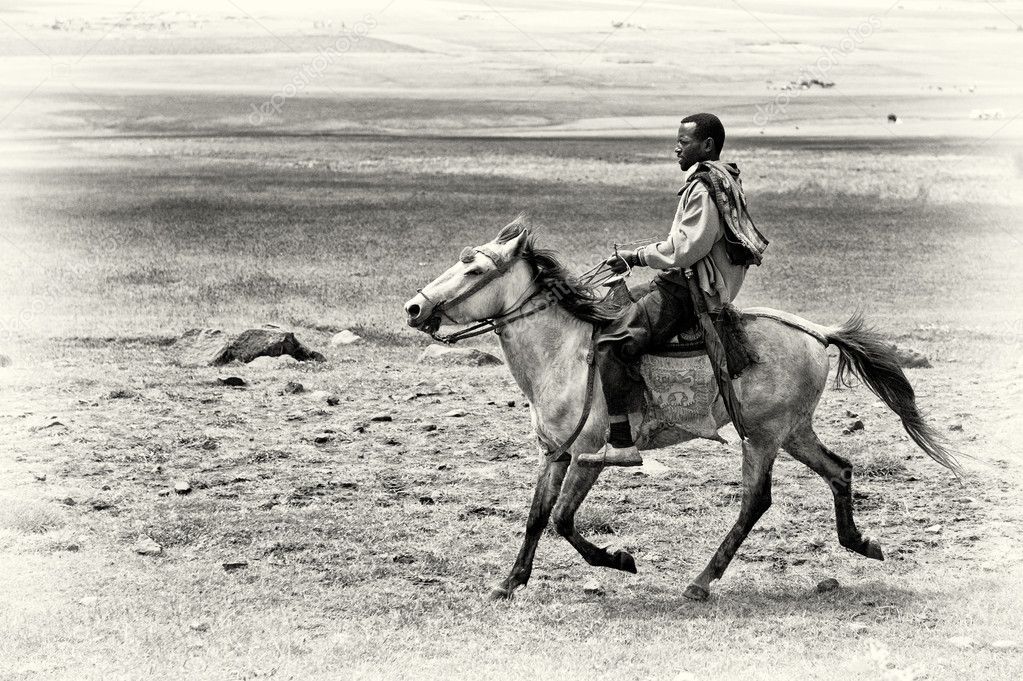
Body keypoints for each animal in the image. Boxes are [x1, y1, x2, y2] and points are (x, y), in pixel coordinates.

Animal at [403, 218, 962, 601]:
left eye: (475, 267)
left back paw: (701, 581)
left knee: (755, 501)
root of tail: (816, 332)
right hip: (793, 431)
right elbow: (537, 517)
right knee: (839, 470)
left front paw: (620, 560)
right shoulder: (554, 452)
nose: (414, 308)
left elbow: (562, 520)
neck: (564, 351)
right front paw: (509, 582)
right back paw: (861, 543)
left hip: (762, 437)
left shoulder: (587, 453)